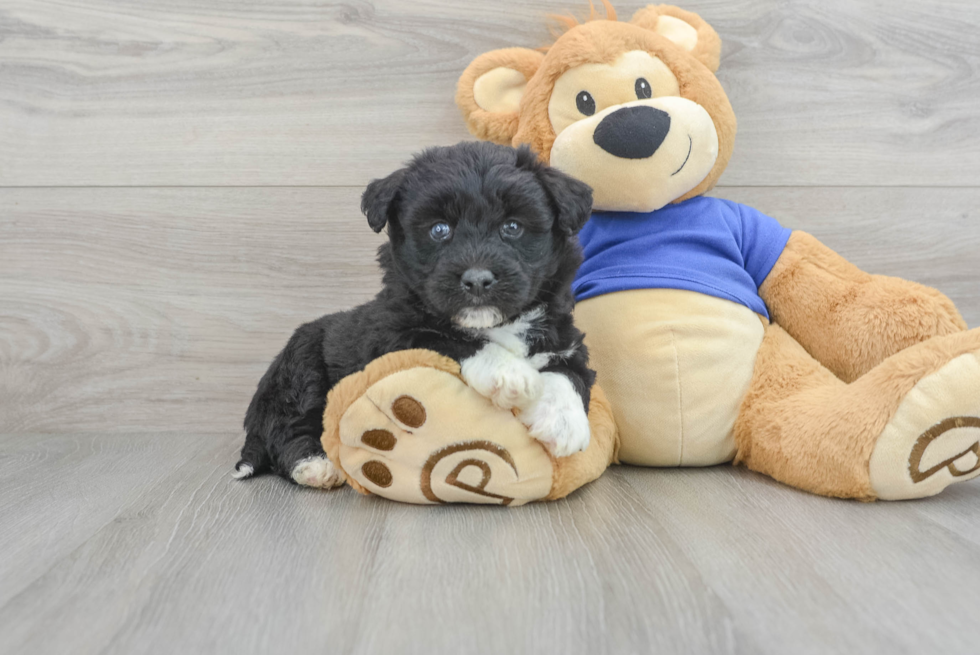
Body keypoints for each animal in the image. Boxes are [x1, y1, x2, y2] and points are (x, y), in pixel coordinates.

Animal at [234, 145, 592, 492]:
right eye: (439, 230)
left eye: (513, 227)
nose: (477, 280)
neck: (497, 324)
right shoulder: (394, 338)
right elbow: (447, 339)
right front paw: (510, 374)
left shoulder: (565, 340)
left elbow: (568, 374)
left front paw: (564, 422)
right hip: (300, 371)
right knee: (289, 428)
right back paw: (315, 465)